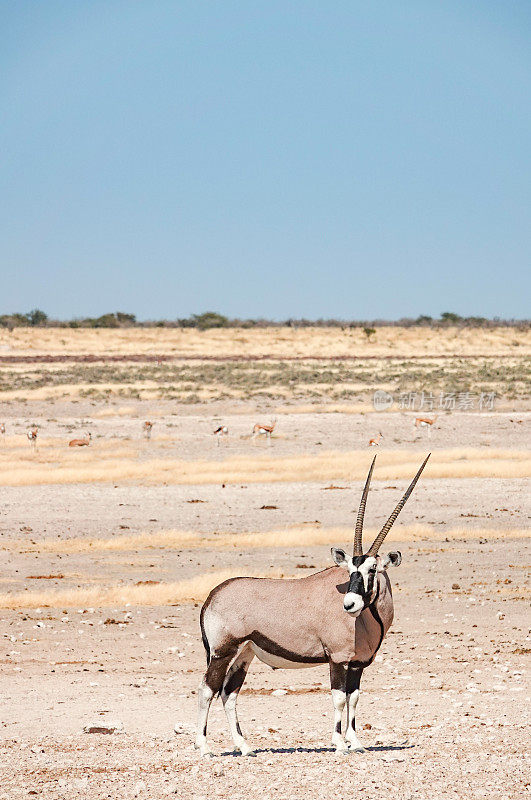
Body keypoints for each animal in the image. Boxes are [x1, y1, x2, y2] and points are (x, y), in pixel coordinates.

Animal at [195, 456, 432, 756]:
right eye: (350, 570)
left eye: (372, 569)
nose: (349, 604)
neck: (368, 619)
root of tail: (212, 596)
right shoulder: (338, 659)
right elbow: (339, 698)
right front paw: (339, 743)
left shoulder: (358, 664)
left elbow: (354, 698)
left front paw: (356, 743)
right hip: (222, 652)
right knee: (207, 689)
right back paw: (204, 747)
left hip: (243, 654)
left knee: (229, 692)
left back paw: (244, 746)